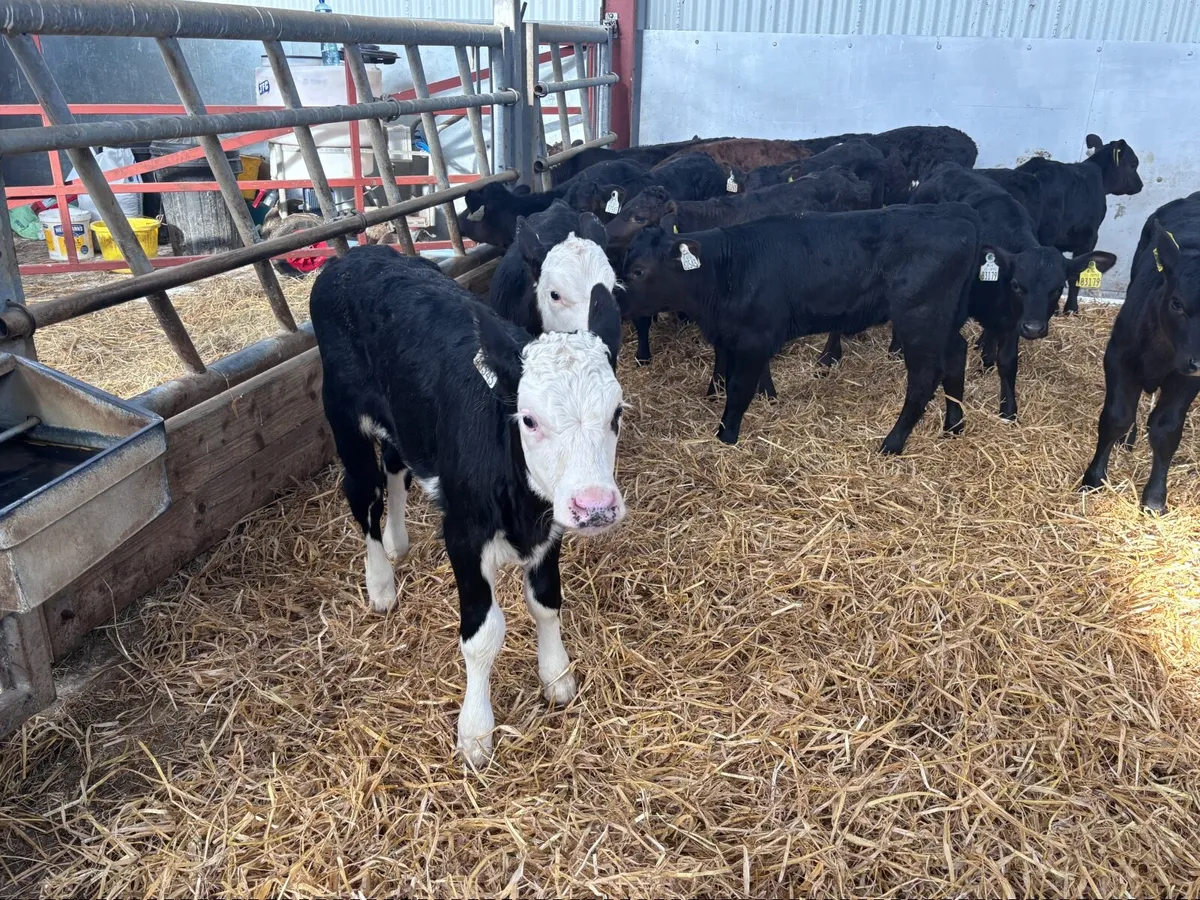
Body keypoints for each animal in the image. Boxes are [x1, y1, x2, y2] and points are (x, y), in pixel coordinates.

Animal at [310, 247, 626, 767]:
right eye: (529, 419)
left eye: (616, 413)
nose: (594, 506)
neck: (521, 508)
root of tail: (354, 255)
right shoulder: (463, 534)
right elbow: (483, 635)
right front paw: (475, 730)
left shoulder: (549, 530)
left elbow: (546, 602)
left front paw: (556, 675)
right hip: (343, 414)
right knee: (364, 494)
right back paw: (380, 582)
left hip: (406, 420)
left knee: (395, 467)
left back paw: (398, 541)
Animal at [617, 205, 982, 453]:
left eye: (638, 271)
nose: (615, 302)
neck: (729, 269)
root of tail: (961, 224)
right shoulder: (738, 334)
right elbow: (741, 372)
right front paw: (764, 397)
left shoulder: (754, 336)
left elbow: (738, 388)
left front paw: (725, 436)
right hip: (945, 320)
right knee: (956, 355)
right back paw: (954, 425)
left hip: (920, 318)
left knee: (923, 377)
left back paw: (891, 443)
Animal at [909, 163, 1117, 420]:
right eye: (1017, 285)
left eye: (1058, 288)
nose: (1034, 328)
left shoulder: (1013, 321)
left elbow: (1008, 362)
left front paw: (1008, 409)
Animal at [1082, 194, 1200, 513]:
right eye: (1176, 303)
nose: (1198, 360)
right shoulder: (1118, 357)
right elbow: (1116, 417)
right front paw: (1093, 478)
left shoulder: (1187, 378)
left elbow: (1166, 429)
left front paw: (1155, 497)